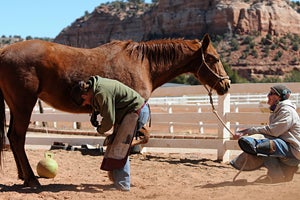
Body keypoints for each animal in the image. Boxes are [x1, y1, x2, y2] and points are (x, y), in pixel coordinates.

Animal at [0, 33, 230, 188]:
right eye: (214, 58)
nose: (226, 85)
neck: (144, 64)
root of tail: (3, 52)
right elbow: (132, 140)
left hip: (16, 107)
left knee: (12, 137)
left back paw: (24, 176)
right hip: (24, 105)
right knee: (18, 138)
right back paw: (31, 179)